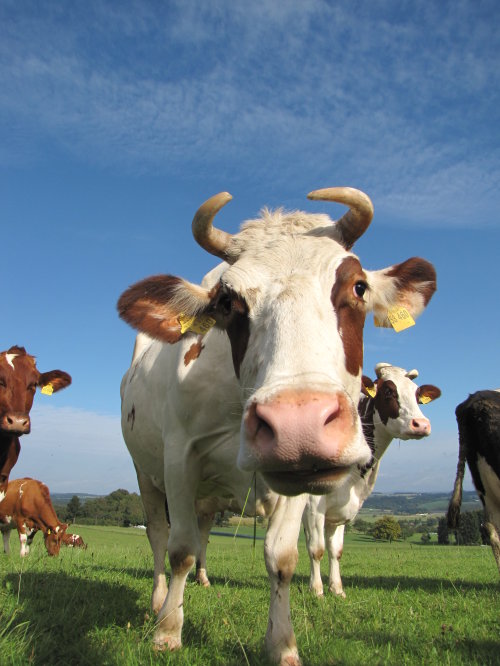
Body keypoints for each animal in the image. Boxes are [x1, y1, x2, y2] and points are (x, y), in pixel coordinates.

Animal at [302, 364, 440, 596]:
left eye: (417, 395)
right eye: (388, 392)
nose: (421, 424)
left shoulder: (339, 511)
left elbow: (335, 551)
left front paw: (337, 589)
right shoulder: (312, 506)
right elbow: (316, 549)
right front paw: (317, 591)